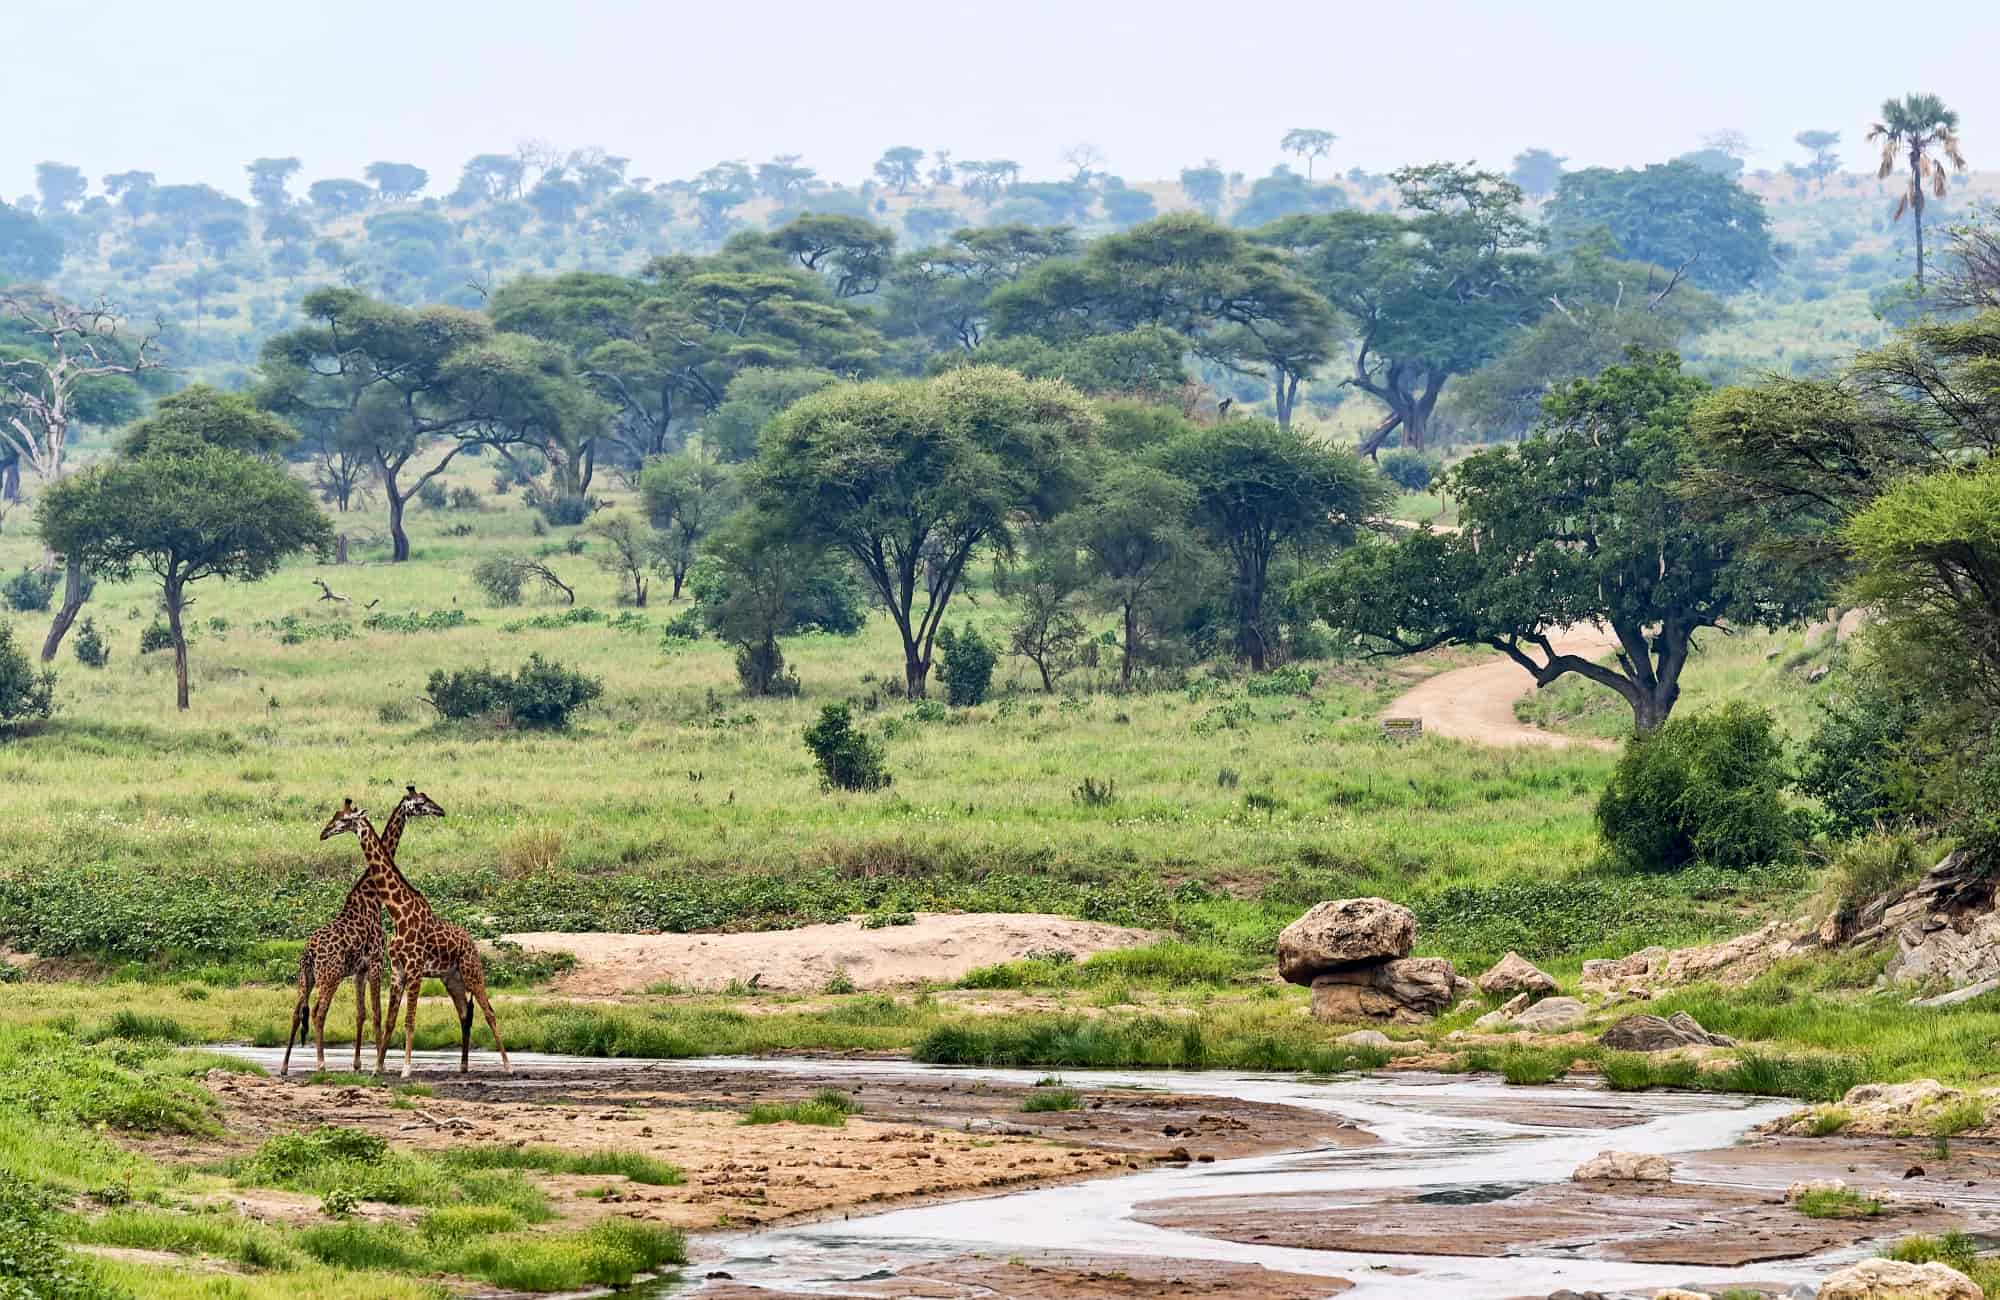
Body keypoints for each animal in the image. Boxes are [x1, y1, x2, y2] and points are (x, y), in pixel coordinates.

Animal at [282, 780, 446, 1072]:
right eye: (420, 802)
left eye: (340, 817)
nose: (440, 810)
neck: (371, 895)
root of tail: (310, 951)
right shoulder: (377, 961)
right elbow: (378, 1013)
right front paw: (379, 1065)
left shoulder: (359, 969)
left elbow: (361, 1013)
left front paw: (358, 1063)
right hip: (330, 974)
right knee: (318, 1012)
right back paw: (321, 1064)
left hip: (306, 975)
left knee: (295, 1011)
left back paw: (285, 1066)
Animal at [316, 800, 512, 1072]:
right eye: (336, 816)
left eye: (345, 820)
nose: (324, 833)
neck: (398, 911)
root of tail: (471, 942)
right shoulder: (397, 970)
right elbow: (390, 1020)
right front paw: (377, 1068)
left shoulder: (414, 969)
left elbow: (408, 1020)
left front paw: (406, 1069)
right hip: (451, 978)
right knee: (464, 1012)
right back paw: (463, 1066)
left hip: (471, 972)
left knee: (489, 1012)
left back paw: (508, 1067)